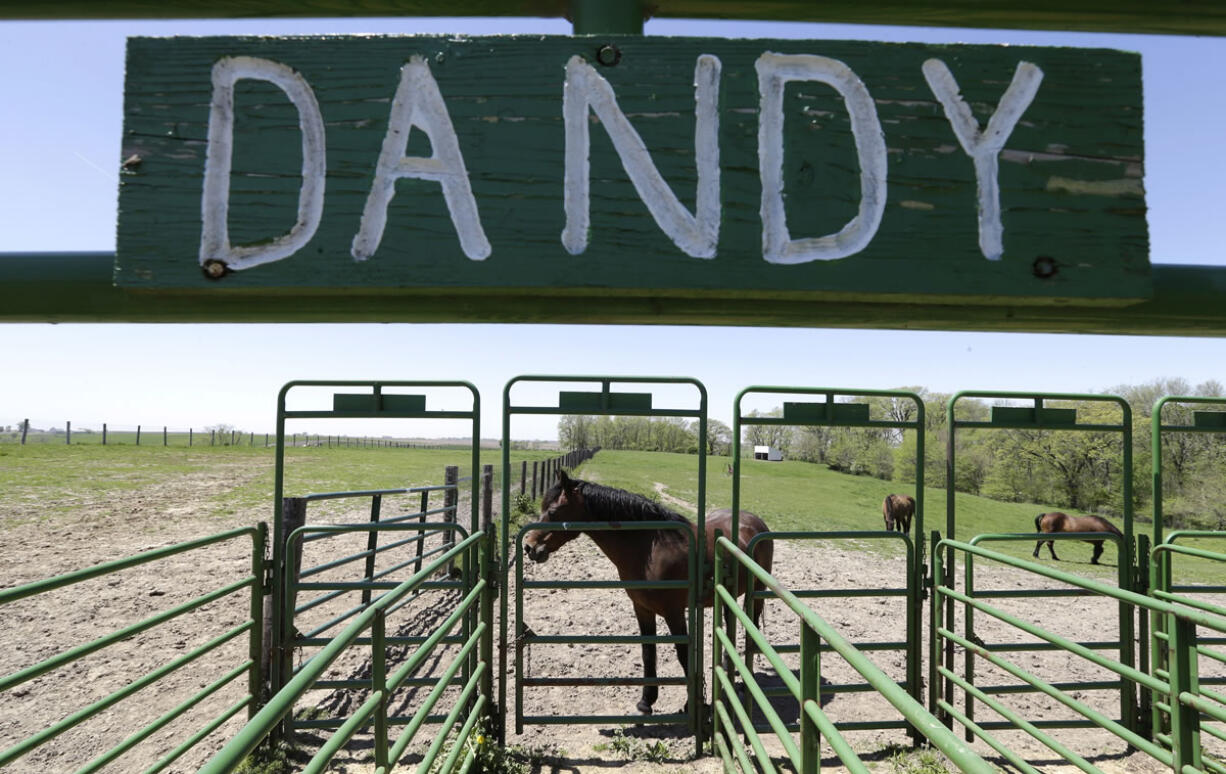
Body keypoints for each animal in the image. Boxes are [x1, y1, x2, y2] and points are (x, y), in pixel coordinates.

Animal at [519, 468, 769, 716]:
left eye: (552, 511)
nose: (529, 546)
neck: (651, 549)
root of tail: (754, 521)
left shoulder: (674, 612)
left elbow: (683, 654)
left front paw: (693, 704)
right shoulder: (642, 609)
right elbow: (648, 652)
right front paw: (646, 701)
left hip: (757, 591)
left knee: (753, 626)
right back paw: (728, 668)